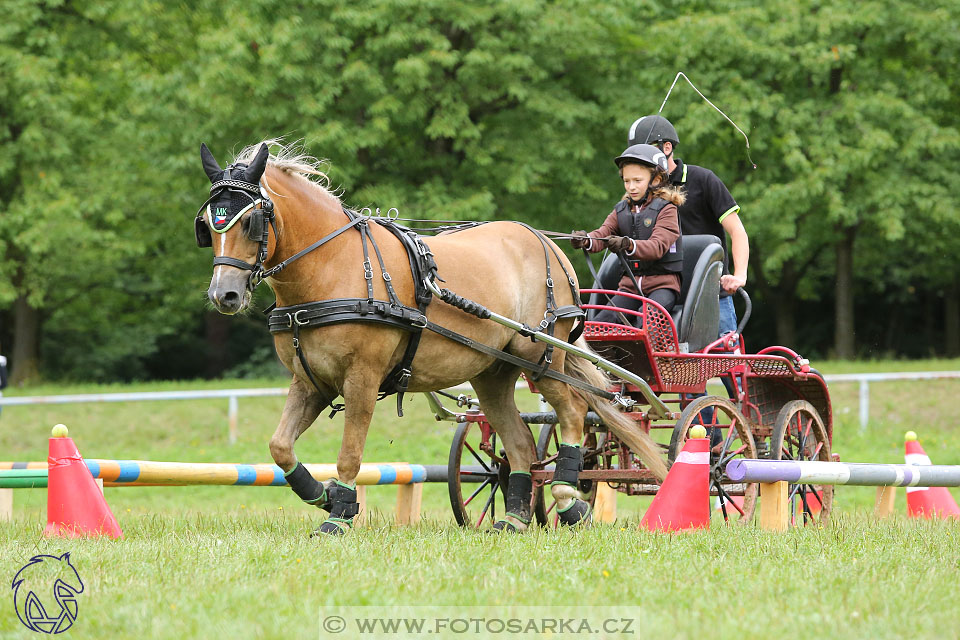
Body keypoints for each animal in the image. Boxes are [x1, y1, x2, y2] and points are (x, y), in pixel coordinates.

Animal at [194, 141, 660, 536]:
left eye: (250, 223)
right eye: (208, 226)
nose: (224, 295)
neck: (333, 265)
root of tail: (545, 242)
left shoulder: (361, 379)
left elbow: (349, 453)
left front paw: (339, 514)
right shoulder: (312, 382)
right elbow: (280, 448)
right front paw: (323, 495)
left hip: (541, 358)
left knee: (574, 411)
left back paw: (568, 499)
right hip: (494, 373)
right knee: (521, 443)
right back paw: (512, 518)